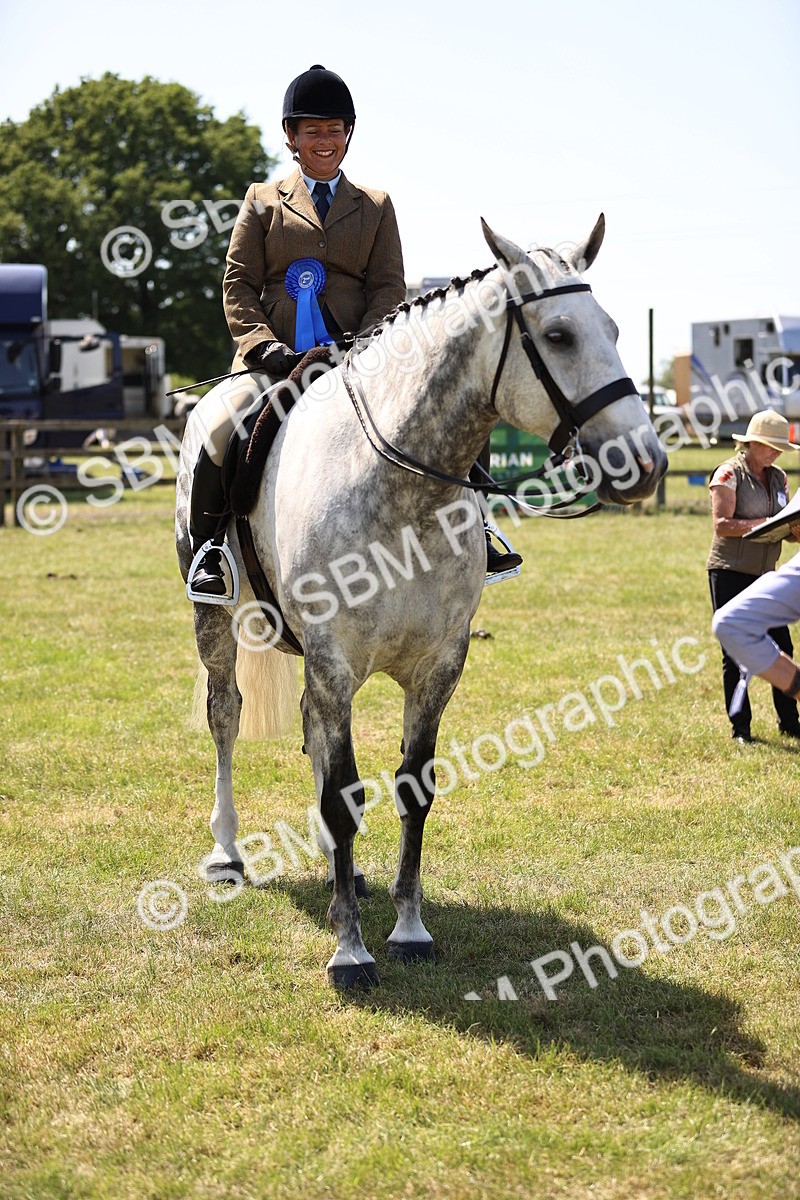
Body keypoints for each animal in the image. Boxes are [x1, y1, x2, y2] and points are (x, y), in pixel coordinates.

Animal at [175, 214, 668, 988]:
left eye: (617, 330)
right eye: (559, 335)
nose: (643, 463)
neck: (399, 487)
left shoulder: (438, 667)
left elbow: (412, 789)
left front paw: (408, 929)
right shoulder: (335, 662)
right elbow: (343, 797)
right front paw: (350, 952)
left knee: (311, 734)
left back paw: (334, 867)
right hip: (215, 622)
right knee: (225, 715)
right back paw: (227, 853)